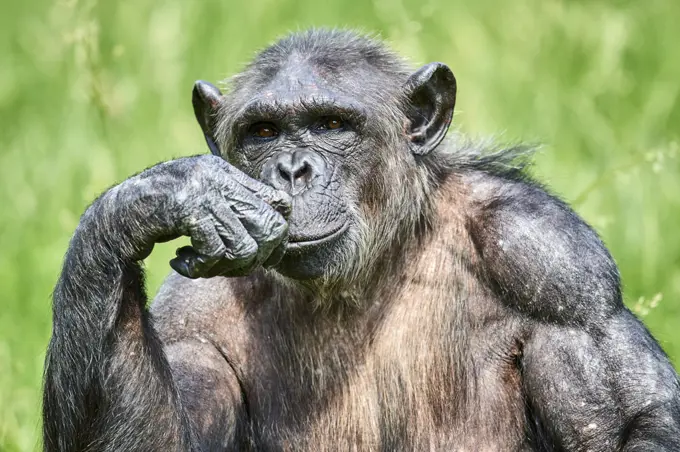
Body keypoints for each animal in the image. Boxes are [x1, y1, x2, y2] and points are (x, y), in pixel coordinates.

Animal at [43, 29, 680, 452]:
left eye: (331, 125)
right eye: (263, 131)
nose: (293, 169)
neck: (370, 270)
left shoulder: (557, 267)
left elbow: (633, 423)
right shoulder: (190, 312)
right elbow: (167, 439)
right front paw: (174, 193)